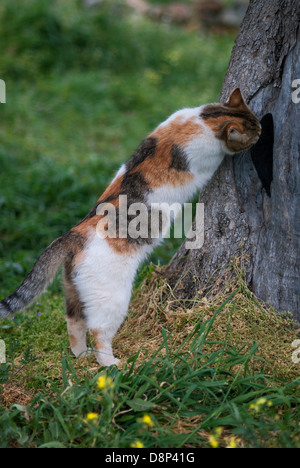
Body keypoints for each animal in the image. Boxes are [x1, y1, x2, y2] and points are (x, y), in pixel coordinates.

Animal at [0, 88, 260, 366]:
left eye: (257, 123)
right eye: (254, 131)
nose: (262, 131)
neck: (205, 118)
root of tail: (72, 235)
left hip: (73, 291)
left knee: (73, 322)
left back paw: (81, 356)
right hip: (112, 299)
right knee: (98, 332)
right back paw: (111, 364)